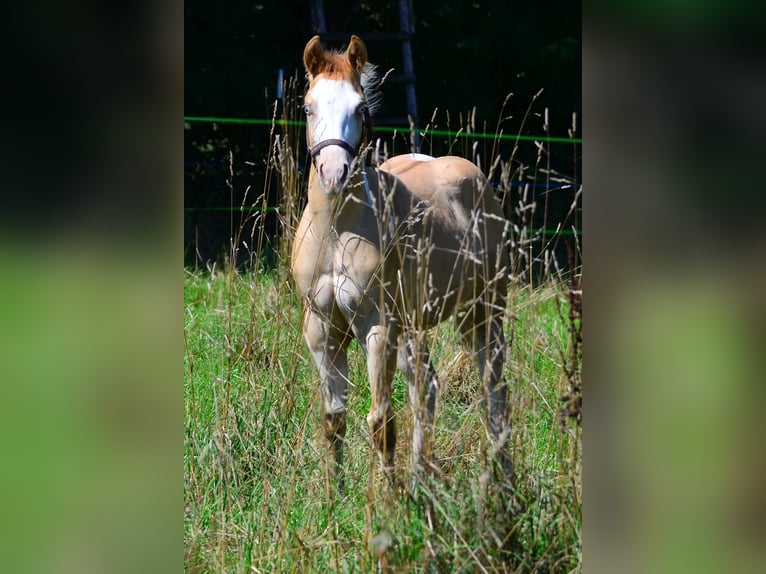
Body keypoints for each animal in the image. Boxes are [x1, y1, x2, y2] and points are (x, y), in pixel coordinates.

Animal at [291, 35, 512, 492]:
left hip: (481, 312)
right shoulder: (320, 327)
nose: (334, 173)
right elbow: (333, 420)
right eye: (307, 106)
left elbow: (380, 421)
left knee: (493, 389)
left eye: (360, 107)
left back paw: (503, 477)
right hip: (414, 324)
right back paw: (420, 478)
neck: (336, 230)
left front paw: (388, 503)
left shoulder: (377, 325)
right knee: (426, 388)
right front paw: (334, 497)